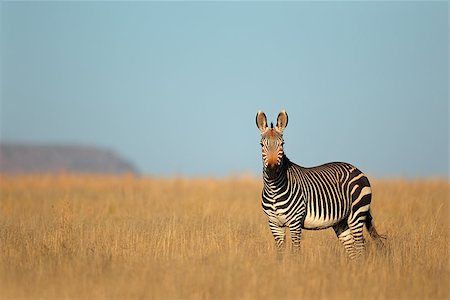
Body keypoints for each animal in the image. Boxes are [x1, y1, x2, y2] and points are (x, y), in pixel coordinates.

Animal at [256, 109, 384, 258]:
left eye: (282, 144)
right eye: (261, 145)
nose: (272, 171)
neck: (273, 189)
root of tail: (356, 169)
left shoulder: (295, 222)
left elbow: (295, 253)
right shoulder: (275, 224)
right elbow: (280, 255)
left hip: (357, 214)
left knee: (360, 249)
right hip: (341, 222)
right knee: (352, 250)